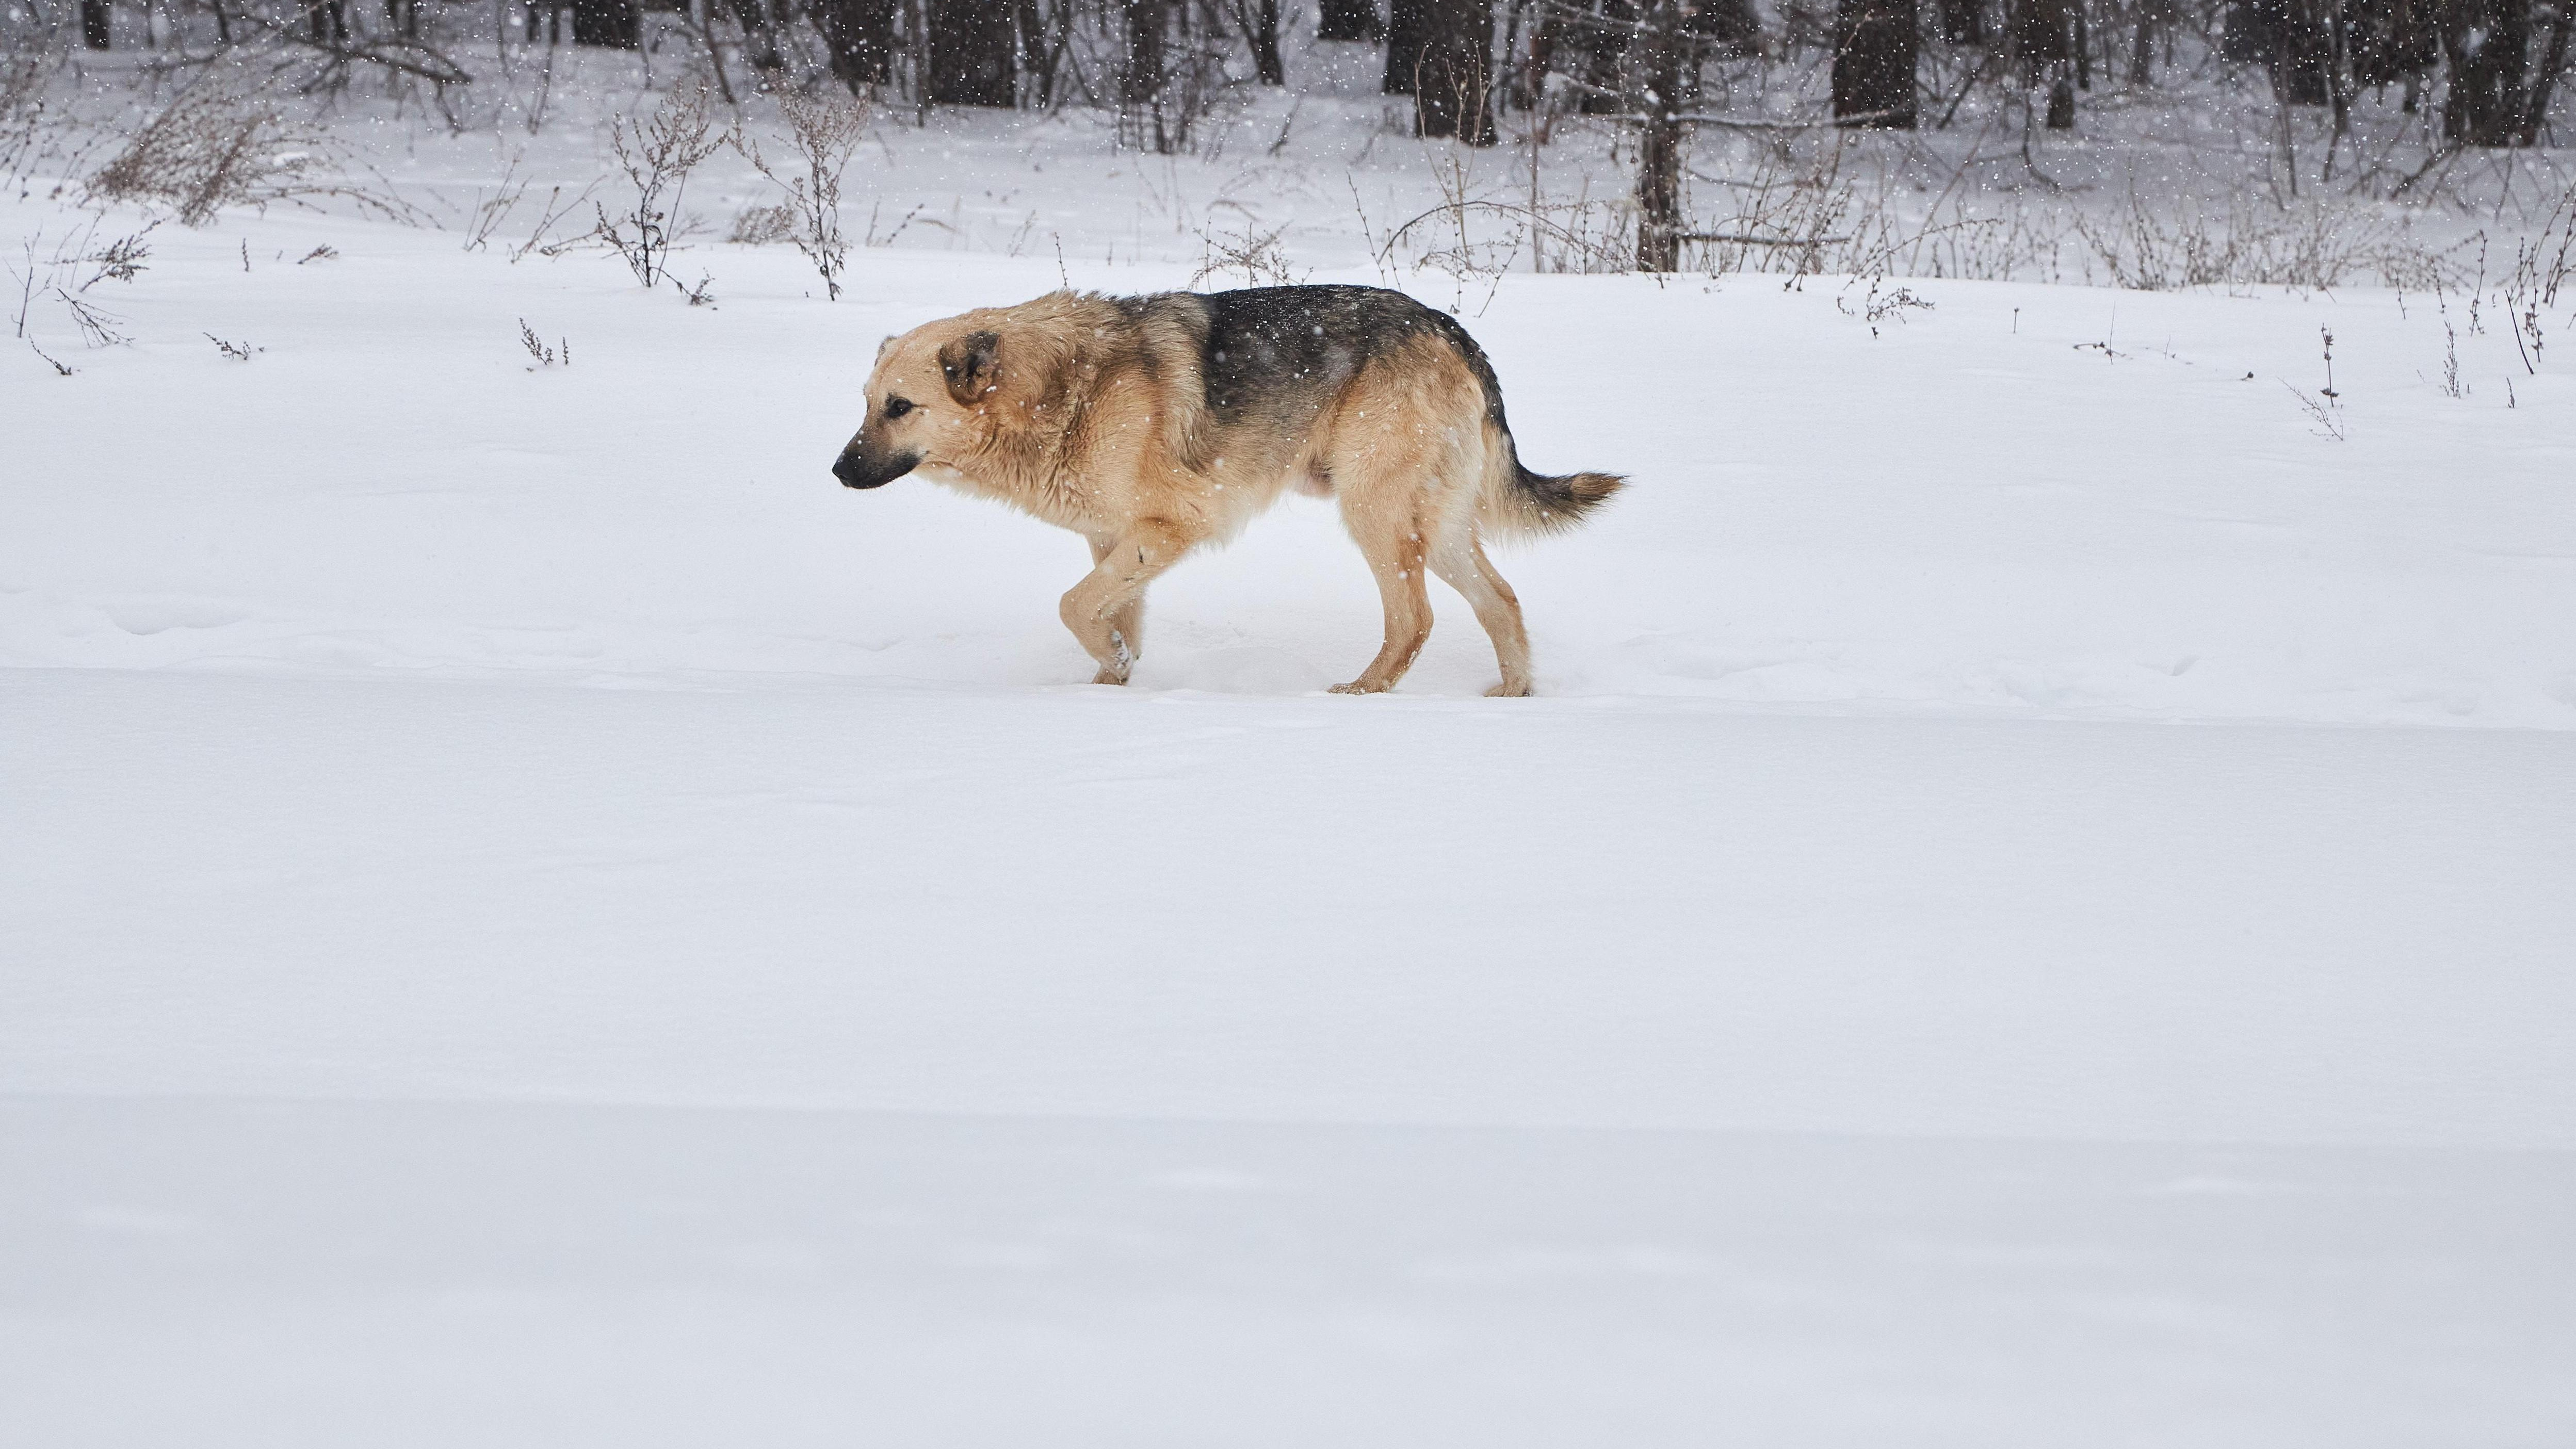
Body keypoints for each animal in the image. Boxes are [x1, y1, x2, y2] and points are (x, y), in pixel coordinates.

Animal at [834, 288, 1617, 695]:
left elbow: (1072, 606)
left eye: (899, 407)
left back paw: (1360, 695)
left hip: (1374, 514)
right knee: (1502, 602)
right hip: (1438, 528)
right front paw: (1111, 685)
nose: (838, 473)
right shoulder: (1116, 541)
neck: (1058, 391)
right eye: (866, 404)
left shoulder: (1173, 527)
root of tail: (1452, 331)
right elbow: (1111, 620)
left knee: (1414, 619)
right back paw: (1510, 699)